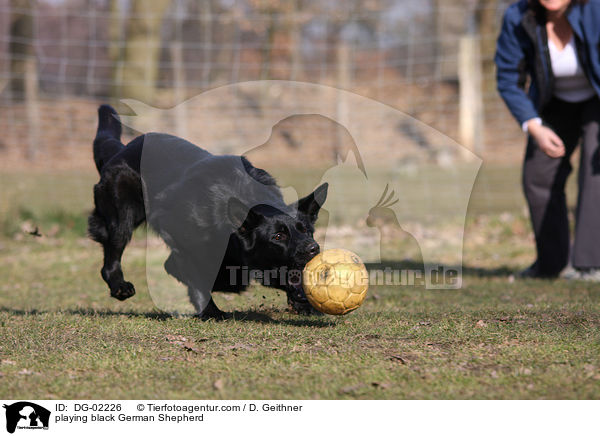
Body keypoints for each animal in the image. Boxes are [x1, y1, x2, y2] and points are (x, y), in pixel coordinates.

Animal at [88, 104, 328, 318]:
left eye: (306, 231)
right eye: (278, 236)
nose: (313, 248)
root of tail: (120, 150)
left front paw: (303, 305)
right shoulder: (176, 236)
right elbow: (193, 276)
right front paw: (210, 311)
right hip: (121, 218)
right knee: (112, 257)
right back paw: (119, 286)